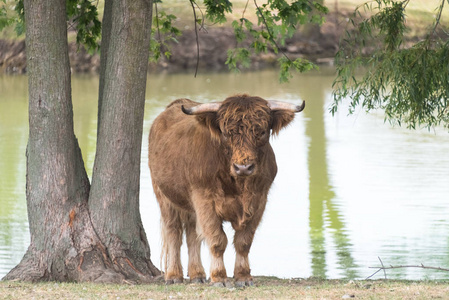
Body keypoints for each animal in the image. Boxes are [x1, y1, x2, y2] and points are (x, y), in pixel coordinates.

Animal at [148, 94, 304, 286]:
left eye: (261, 132)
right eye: (225, 133)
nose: (243, 167)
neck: (238, 185)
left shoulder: (259, 200)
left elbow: (244, 241)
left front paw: (243, 276)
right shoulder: (204, 199)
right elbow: (217, 240)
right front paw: (219, 277)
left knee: (192, 234)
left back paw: (197, 274)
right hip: (164, 196)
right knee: (174, 233)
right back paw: (174, 275)